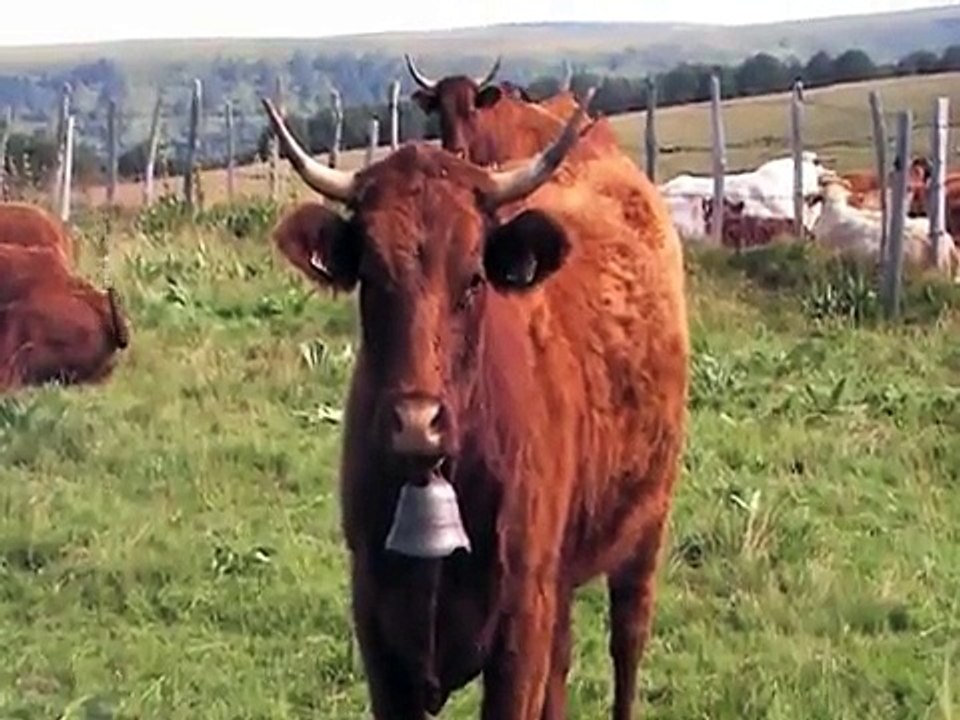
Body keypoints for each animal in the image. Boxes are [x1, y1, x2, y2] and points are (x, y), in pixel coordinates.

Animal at [261, 86, 689, 720]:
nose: (417, 424)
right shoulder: (379, 632)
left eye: (473, 279)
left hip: (645, 526)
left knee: (627, 646)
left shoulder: (519, 630)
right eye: (371, 278)